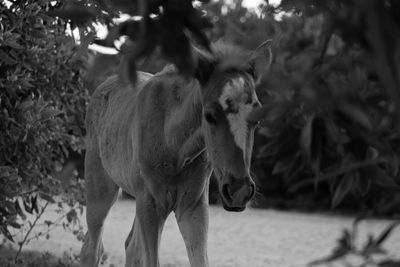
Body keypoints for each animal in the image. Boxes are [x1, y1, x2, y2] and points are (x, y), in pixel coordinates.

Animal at [79, 42, 270, 267]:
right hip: (101, 190)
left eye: (257, 119)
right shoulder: (151, 204)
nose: (239, 191)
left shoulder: (193, 207)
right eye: (209, 115)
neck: (173, 145)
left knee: (130, 246)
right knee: (92, 249)